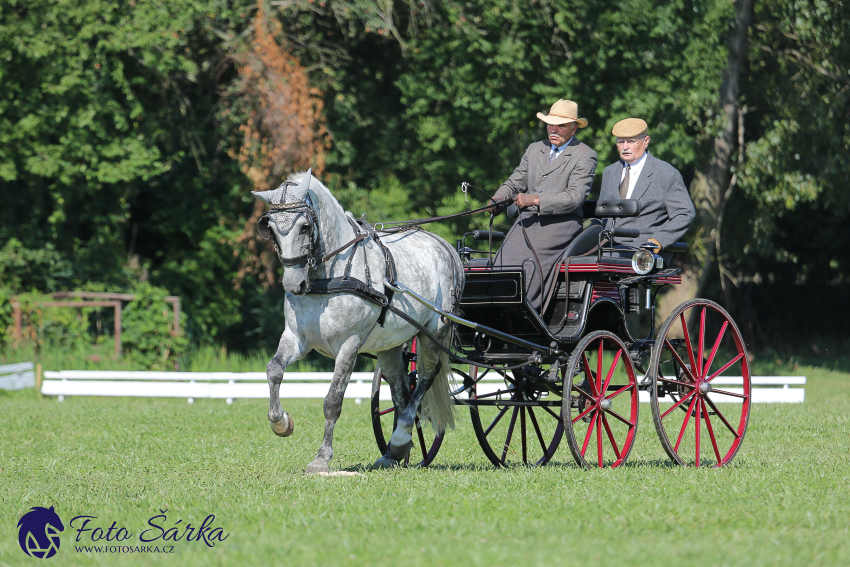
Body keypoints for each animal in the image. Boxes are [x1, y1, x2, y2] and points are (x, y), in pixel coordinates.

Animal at [252, 171, 464, 472]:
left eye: (304, 226)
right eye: (268, 228)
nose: (294, 284)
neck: (330, 276)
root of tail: (445, 246)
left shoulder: (349, 345)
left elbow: (333, 400)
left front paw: (322, 457)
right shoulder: (295, 337)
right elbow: (274, 370)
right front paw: (281, 422)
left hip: (435, 330)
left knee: (424, 378)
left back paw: (400, 437)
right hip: (389, 345)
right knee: (402, 389)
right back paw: (394, 452)